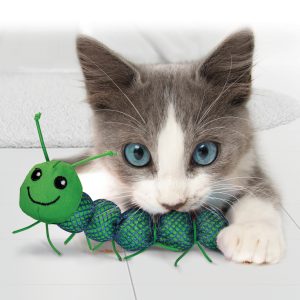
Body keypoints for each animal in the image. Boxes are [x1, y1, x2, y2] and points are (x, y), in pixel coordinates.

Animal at [76, 29, 284, 264]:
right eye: (137, 154)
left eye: (205, 152)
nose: (173, 203)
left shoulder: (248, 156)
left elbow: (259, 187)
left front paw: (254, 232)